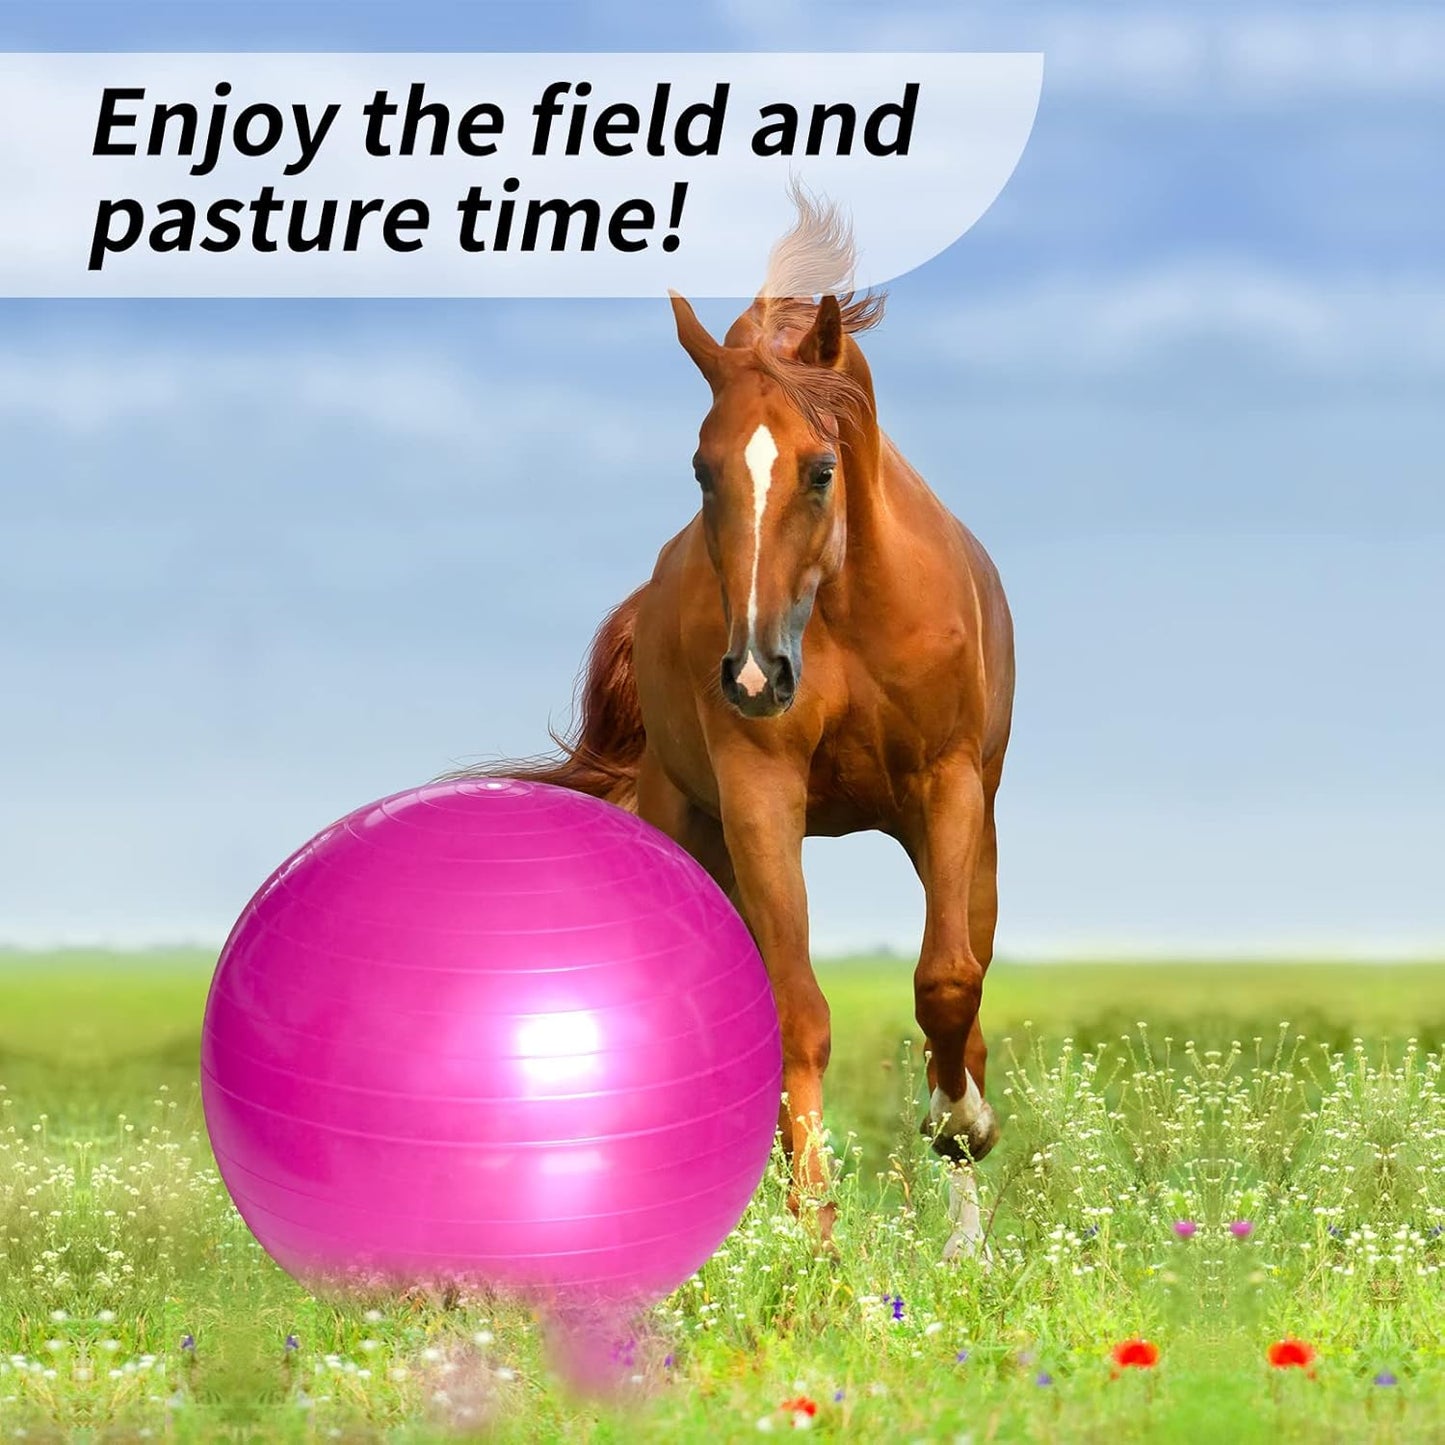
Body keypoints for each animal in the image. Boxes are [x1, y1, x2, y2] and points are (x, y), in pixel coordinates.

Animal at [471, 194, 1014, 1257]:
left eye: (820, 469)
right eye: (701, 469)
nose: (757, 673)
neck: (843, 610)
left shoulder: (945, 787)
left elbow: (944, 982)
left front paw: (957, 1131)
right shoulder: (761, 792)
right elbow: (795, 1010)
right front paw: (817, 1230)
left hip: (972, 839)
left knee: (963, 987)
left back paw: (965, 1216)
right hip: (699, 830)